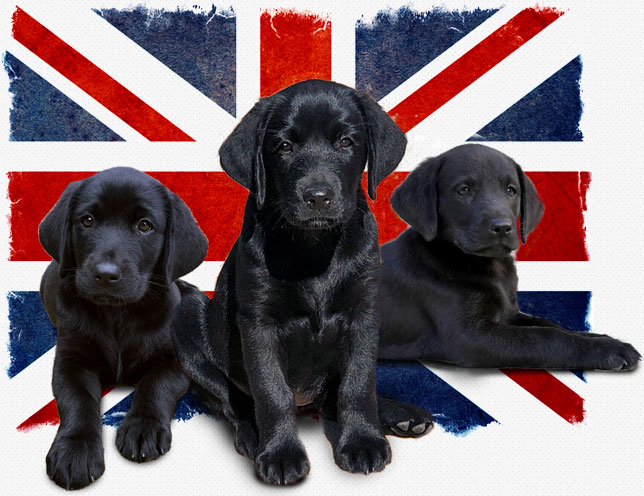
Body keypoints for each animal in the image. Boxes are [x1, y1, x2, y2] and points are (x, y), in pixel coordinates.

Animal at [37, 167, 208, 488]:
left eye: (144, 226)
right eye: (87, 220)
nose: (105, 274)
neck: (118, 314)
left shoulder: (174, 358)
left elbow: (155, 384)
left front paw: (143, 428)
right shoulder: (70, 361)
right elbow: (77, 400)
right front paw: (75, 451)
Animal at [171, 79, 432, 486]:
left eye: (346, 142)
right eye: (284, 146)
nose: (318, 197)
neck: (314, 247)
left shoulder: (363, 312)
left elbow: (359, 382)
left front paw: (363, 440)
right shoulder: (259, 323)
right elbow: (271, 392)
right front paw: (280, 454)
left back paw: (398, 415)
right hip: (188, 317)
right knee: (230, 399)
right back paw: (250, 435)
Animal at [378, 142, 640, 368]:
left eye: (511, 191)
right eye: (463, 190)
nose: (502, 227)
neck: (487, 266)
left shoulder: (509, 313)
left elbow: (549, 324)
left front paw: (606, 339)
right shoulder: (469, 336)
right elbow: (545, 337)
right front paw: (607, 350)